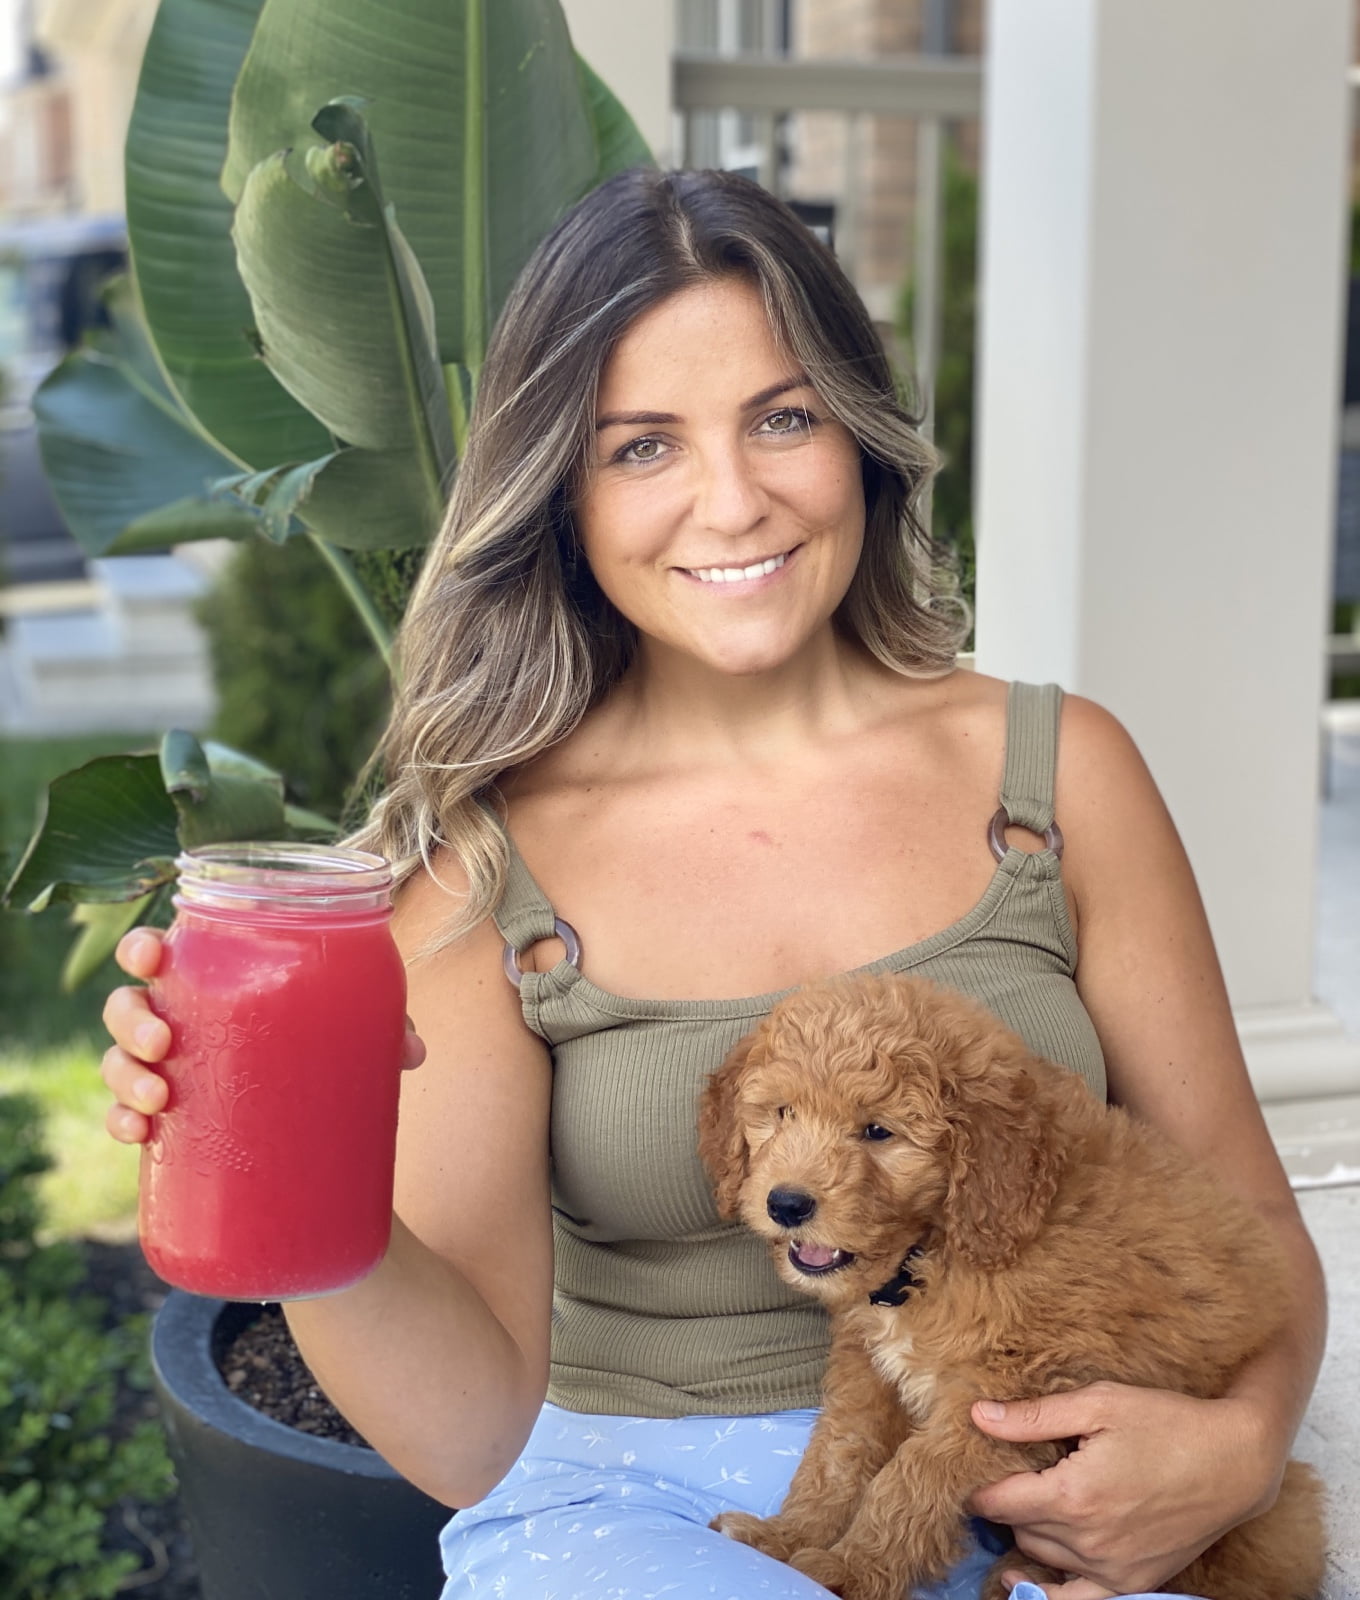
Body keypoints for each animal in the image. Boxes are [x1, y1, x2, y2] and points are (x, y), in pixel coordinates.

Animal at [694, 966, 1318, 1600]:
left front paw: (852, 1570)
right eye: (783, 1113)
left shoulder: (1010, 1395)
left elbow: (911, 1476)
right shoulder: (868, 1370)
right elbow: (838, 1453)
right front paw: (786, 1537)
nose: (787, 1203)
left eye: (877, 1131)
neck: (933, 1253)